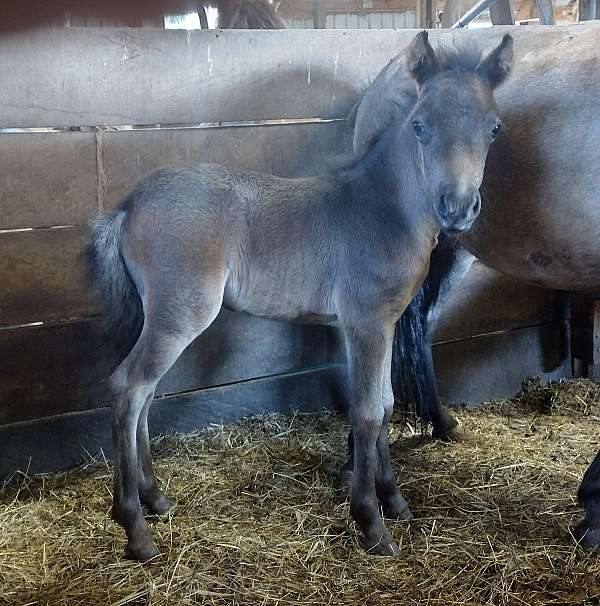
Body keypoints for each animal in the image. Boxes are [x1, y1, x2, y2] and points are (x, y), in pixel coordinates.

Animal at [90, 32, 516, 564]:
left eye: (494, 127)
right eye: (420, 125)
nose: (457, 208)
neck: (383, 210)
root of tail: (127, 206)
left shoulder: (380, 324)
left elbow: (387, 403)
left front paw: (394, 499)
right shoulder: (366, 322)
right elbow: (368, 411)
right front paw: (371, 521)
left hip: (163, 317)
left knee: (144, 394)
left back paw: (156, 497)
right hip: (180, 314)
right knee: (128, 388)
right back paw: (135, 527)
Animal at [350, 25, 600, 552]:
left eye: (496, 129)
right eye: (419, 126)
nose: (458, 204)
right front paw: (595, 509)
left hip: (451, 250)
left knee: (418, 328)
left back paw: (438, 425)